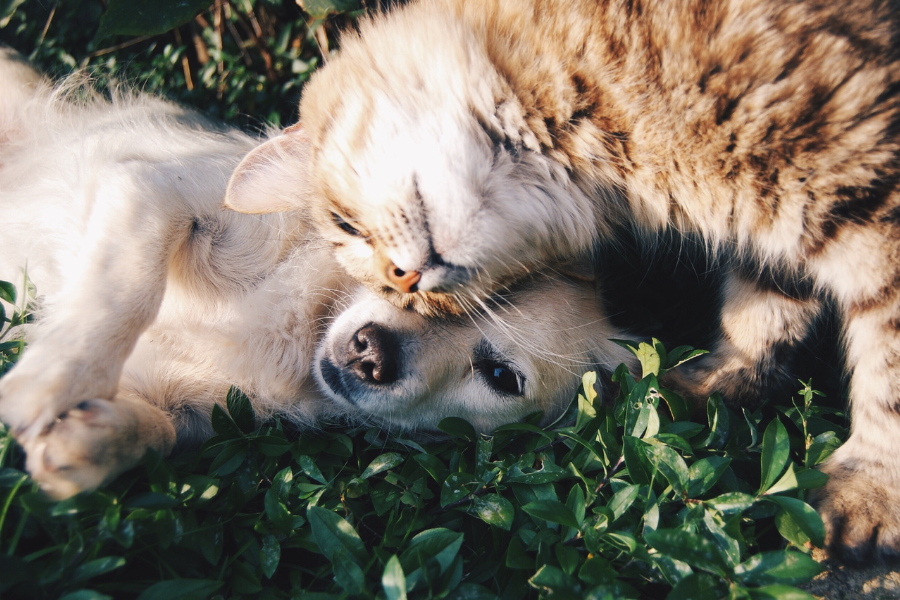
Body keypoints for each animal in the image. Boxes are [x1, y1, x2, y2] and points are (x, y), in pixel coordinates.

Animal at [0, 51, 632, 500]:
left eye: (501, 376)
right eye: (405, 274)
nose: (370, 353)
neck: (300, 330)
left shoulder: (194, 408)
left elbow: (159, 431)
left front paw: (90, 443)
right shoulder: (151, 191)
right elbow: (124, 292)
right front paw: (48, 383)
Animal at [225, 1, 900, 564]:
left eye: (344, 224)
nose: (405, 280)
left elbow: (886, 368)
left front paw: (870, 491)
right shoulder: (775, 226)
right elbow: (763, 308)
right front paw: (716, 384)